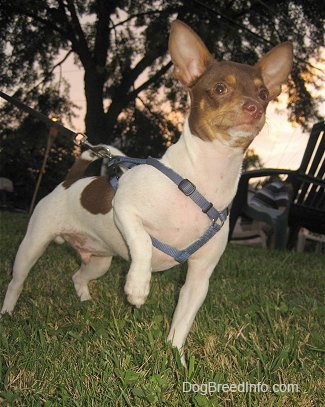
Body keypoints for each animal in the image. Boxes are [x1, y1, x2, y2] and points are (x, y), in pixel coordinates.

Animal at [0, 19, 294, 364]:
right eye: (221, 88)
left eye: (263, 94)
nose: (254, 107)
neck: (203, 179)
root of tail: (70, 181)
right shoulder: (125, 210)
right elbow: (141, 242)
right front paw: (138, 286)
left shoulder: (199, 278)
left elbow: (182, 322)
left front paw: (176, 360)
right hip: (32, 246)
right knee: (17, 281)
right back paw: (8, 312)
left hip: (99, 261)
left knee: (77, 277)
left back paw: (85, 302)